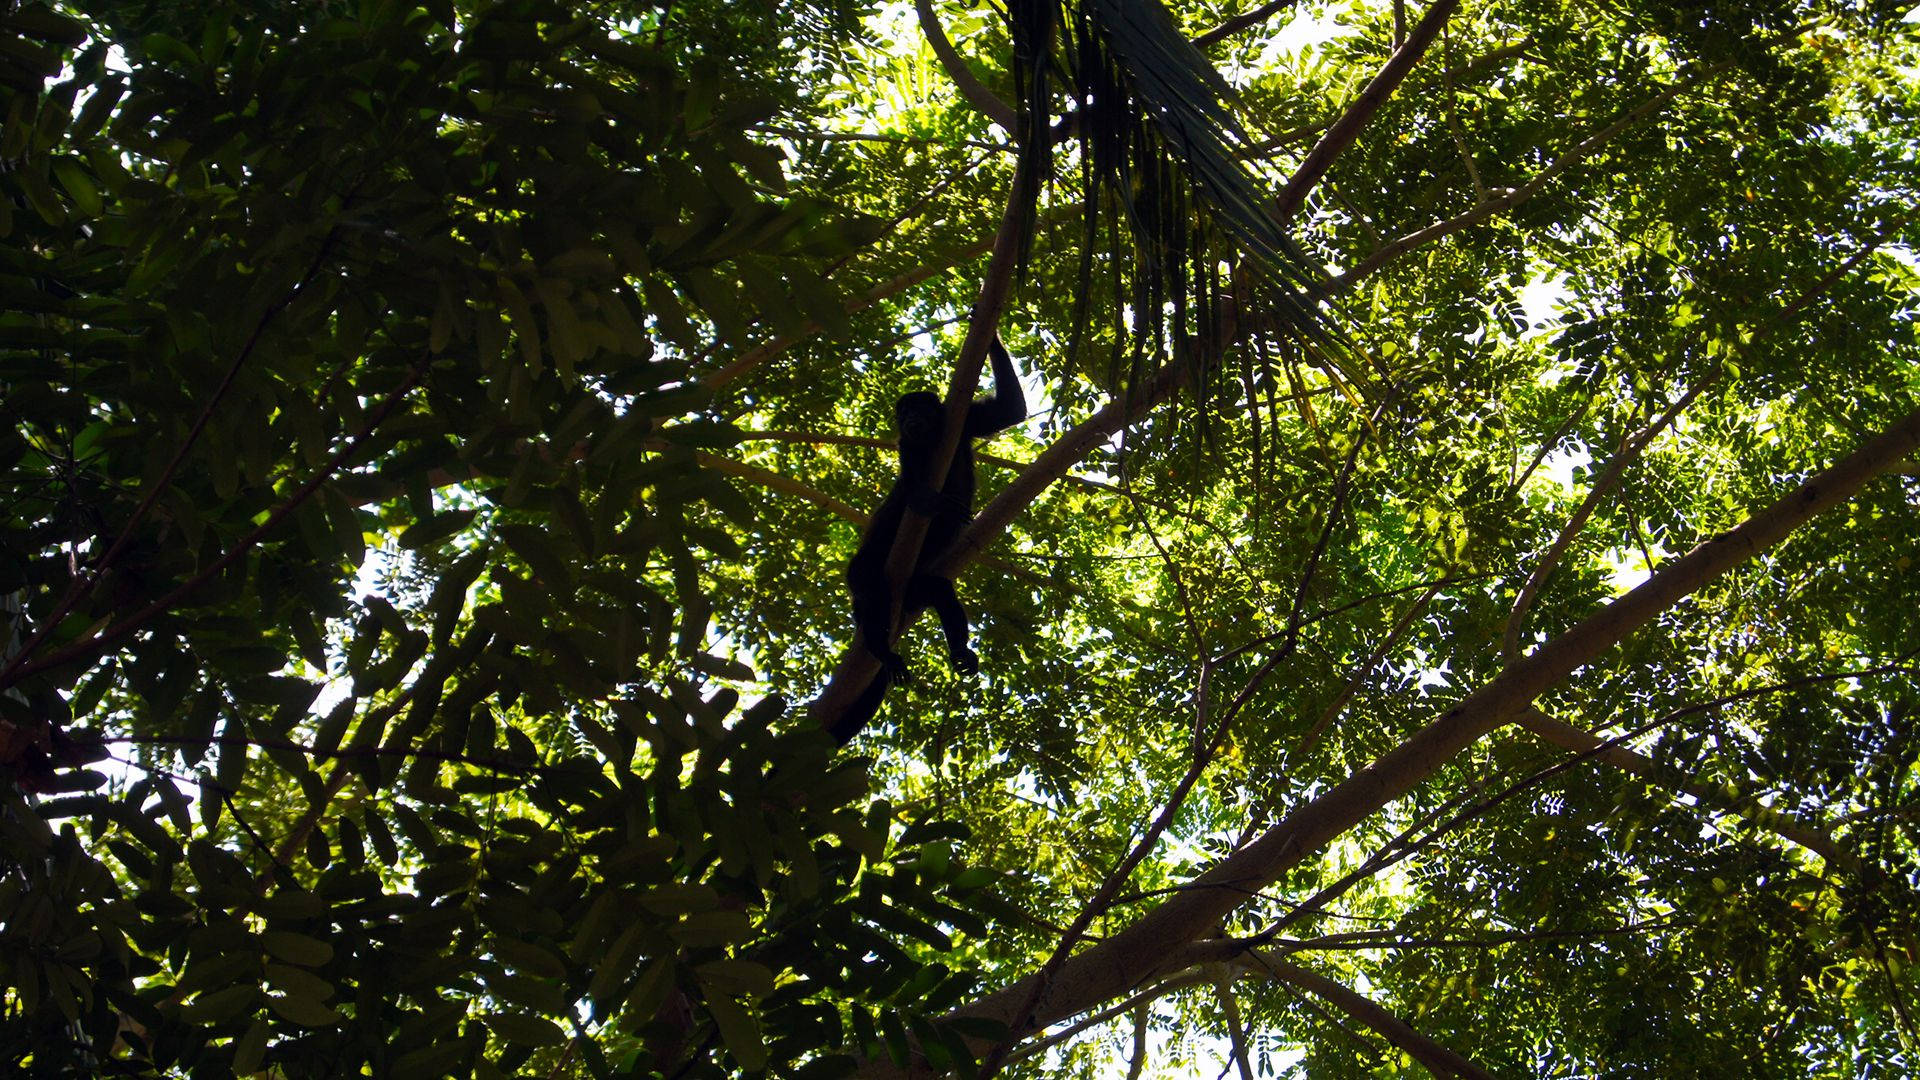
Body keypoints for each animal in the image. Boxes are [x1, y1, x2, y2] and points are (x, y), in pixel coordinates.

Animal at [833, 336, 1029, 737]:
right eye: (902, 414)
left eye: (917, 407)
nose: (908, 418)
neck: (934, 437)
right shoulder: (906, 447)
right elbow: (915, 496)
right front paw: (943, 507)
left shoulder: (965, 421)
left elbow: (1010, 411)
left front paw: (989, 330)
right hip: (871, 570)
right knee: (865, 584)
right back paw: (881, 650)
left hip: (916, 588)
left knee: (938, 590)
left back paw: (960, 651)